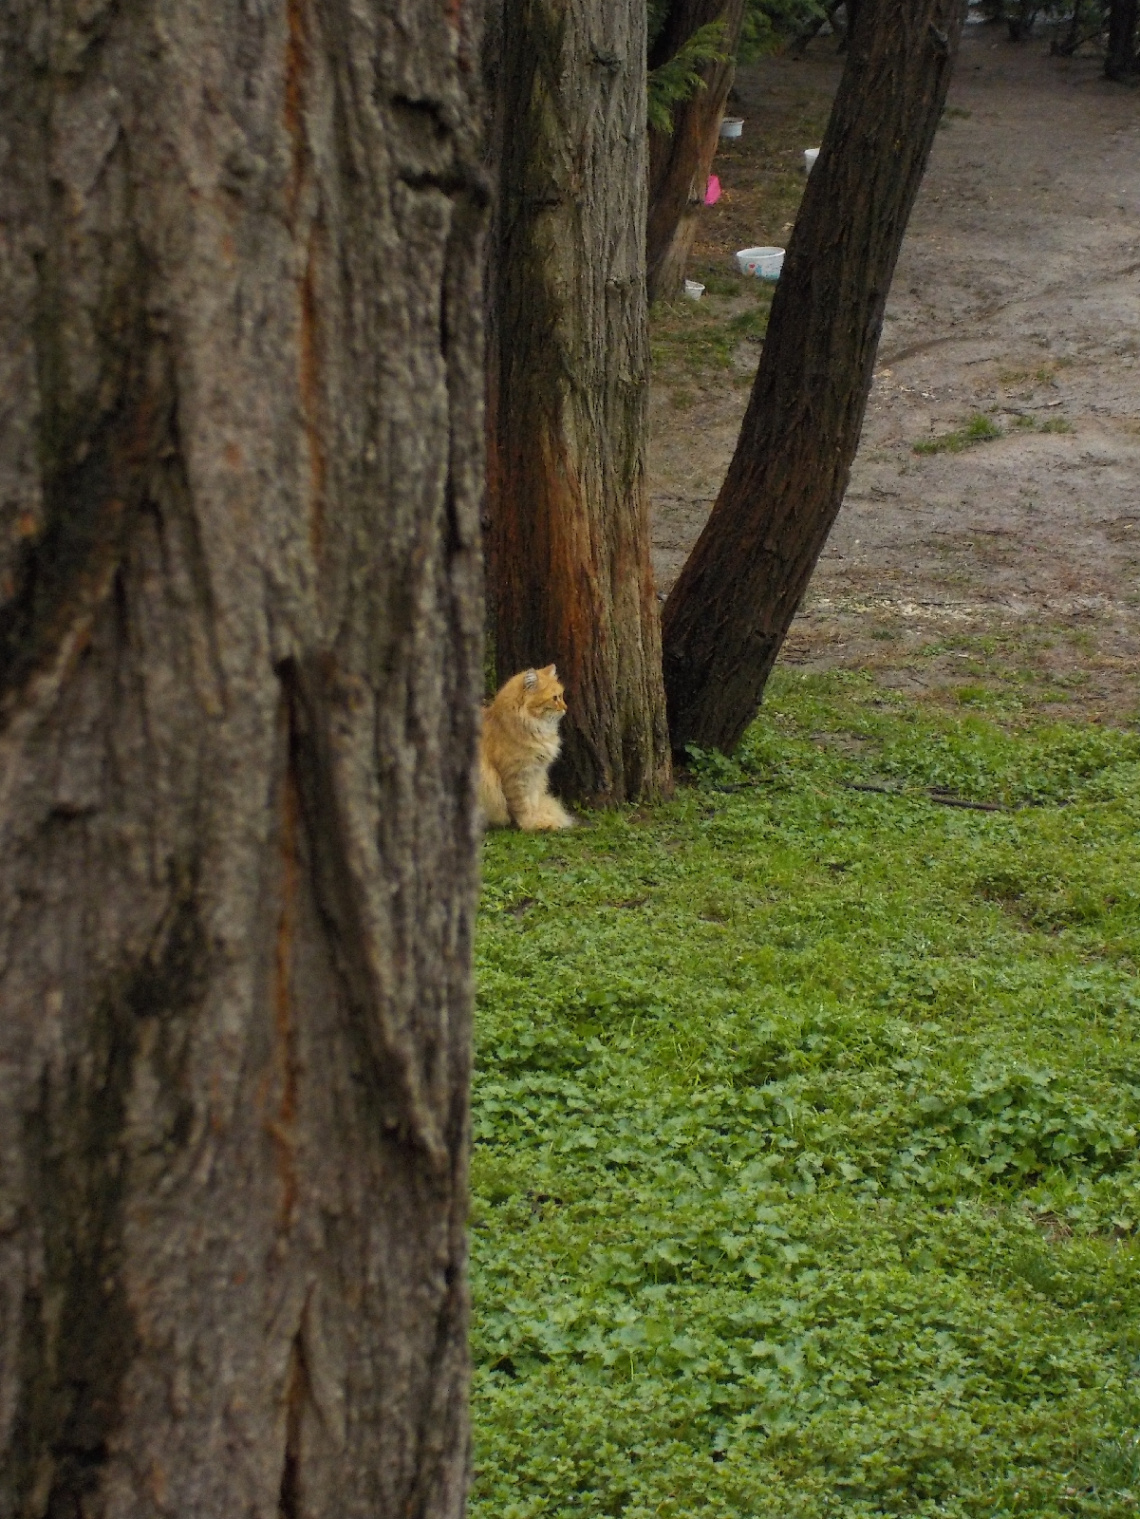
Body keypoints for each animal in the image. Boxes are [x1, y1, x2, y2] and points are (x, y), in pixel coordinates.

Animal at [477, 665, 574, 832]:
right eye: (555, 698)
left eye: (561, 696)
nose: (565, 708)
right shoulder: (516, 776)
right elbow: (522, 806)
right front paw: (531, 825)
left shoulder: (535, 775)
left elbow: (533, 802)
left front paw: (538, 819)